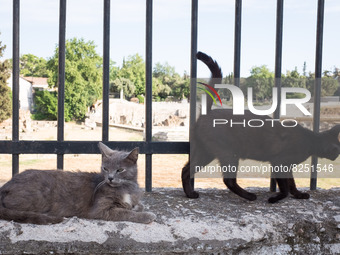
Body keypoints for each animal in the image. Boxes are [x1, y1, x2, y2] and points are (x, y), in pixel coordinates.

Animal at [0, 142, 157, 224]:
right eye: (105, 168)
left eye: (120, 170)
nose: (110, 178)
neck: (125, 188)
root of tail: (7, 184)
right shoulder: (100, 209)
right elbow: (125, 213)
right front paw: (147, 216)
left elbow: (136, 205)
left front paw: (136, 206)